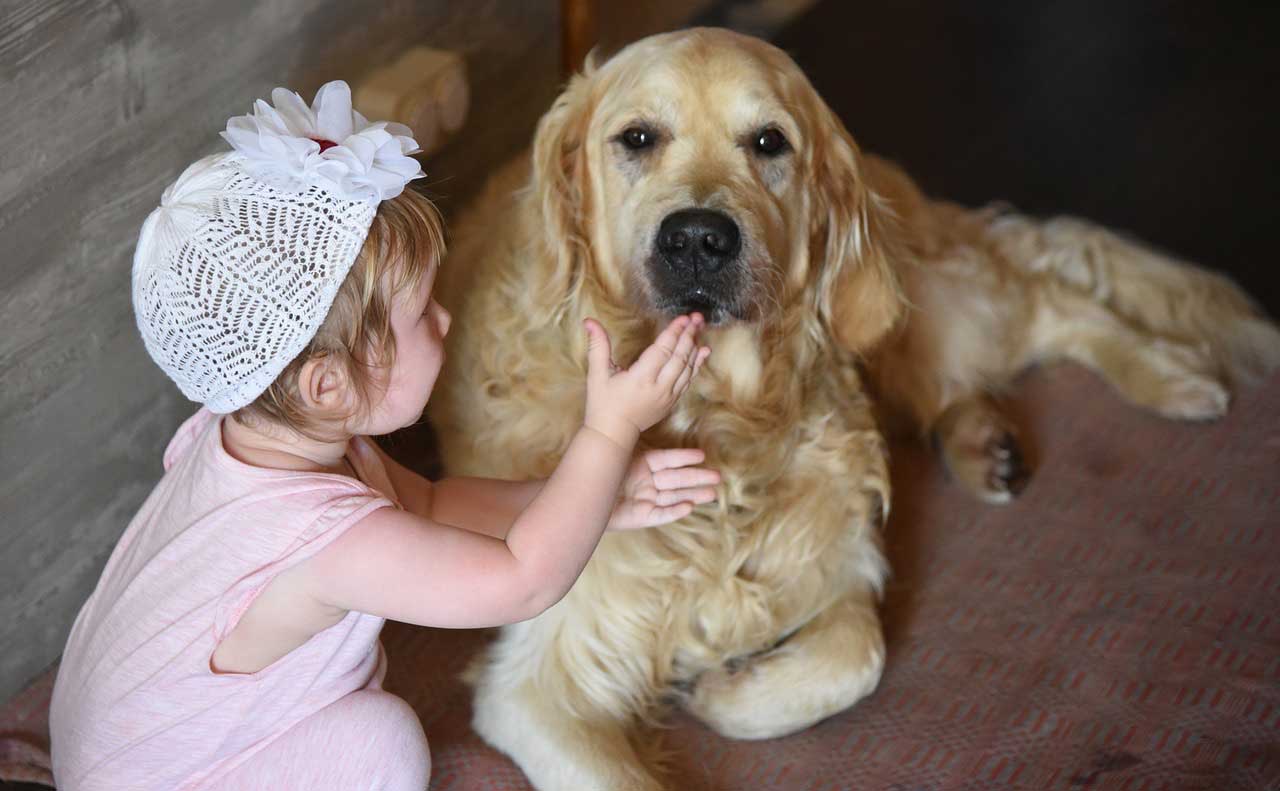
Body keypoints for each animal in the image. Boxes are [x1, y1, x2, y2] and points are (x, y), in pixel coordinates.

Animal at [432, 27, 1280, 783]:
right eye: (637, 137)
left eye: (769, 142)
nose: (699, 239)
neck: (723, 422)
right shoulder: (538, 682)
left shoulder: (840, 566)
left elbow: (858, 655)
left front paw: (722, 688)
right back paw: (986, 444)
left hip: (906, 300)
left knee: (1051, 299)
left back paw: (1169, 376)